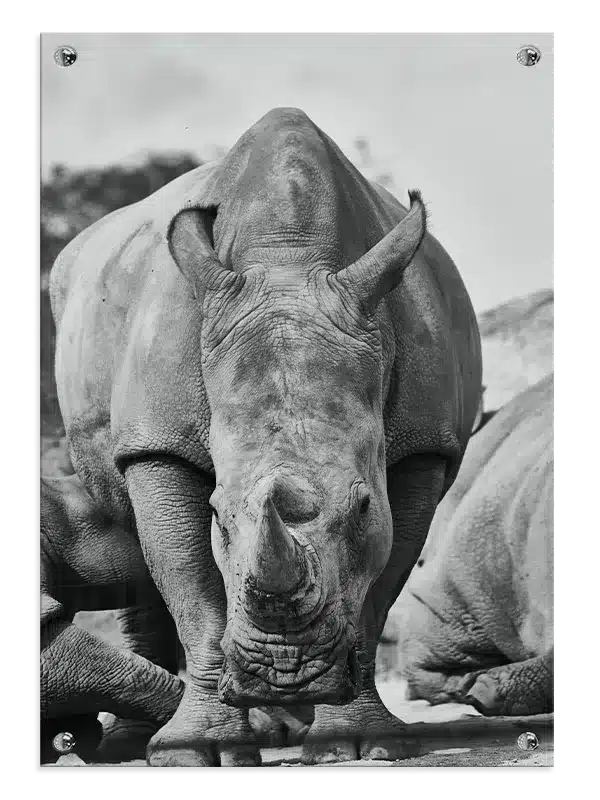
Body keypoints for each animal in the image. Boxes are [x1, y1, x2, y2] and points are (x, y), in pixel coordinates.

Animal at [43, 107, 481, 766]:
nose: (286, 670)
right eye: (217, 514)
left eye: (362, 508)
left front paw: (361, 744)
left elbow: (379, 590)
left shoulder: (421, 446)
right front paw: (197, 753)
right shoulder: (158, 441)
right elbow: (192, 584)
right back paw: (135, 745)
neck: (289, 260)